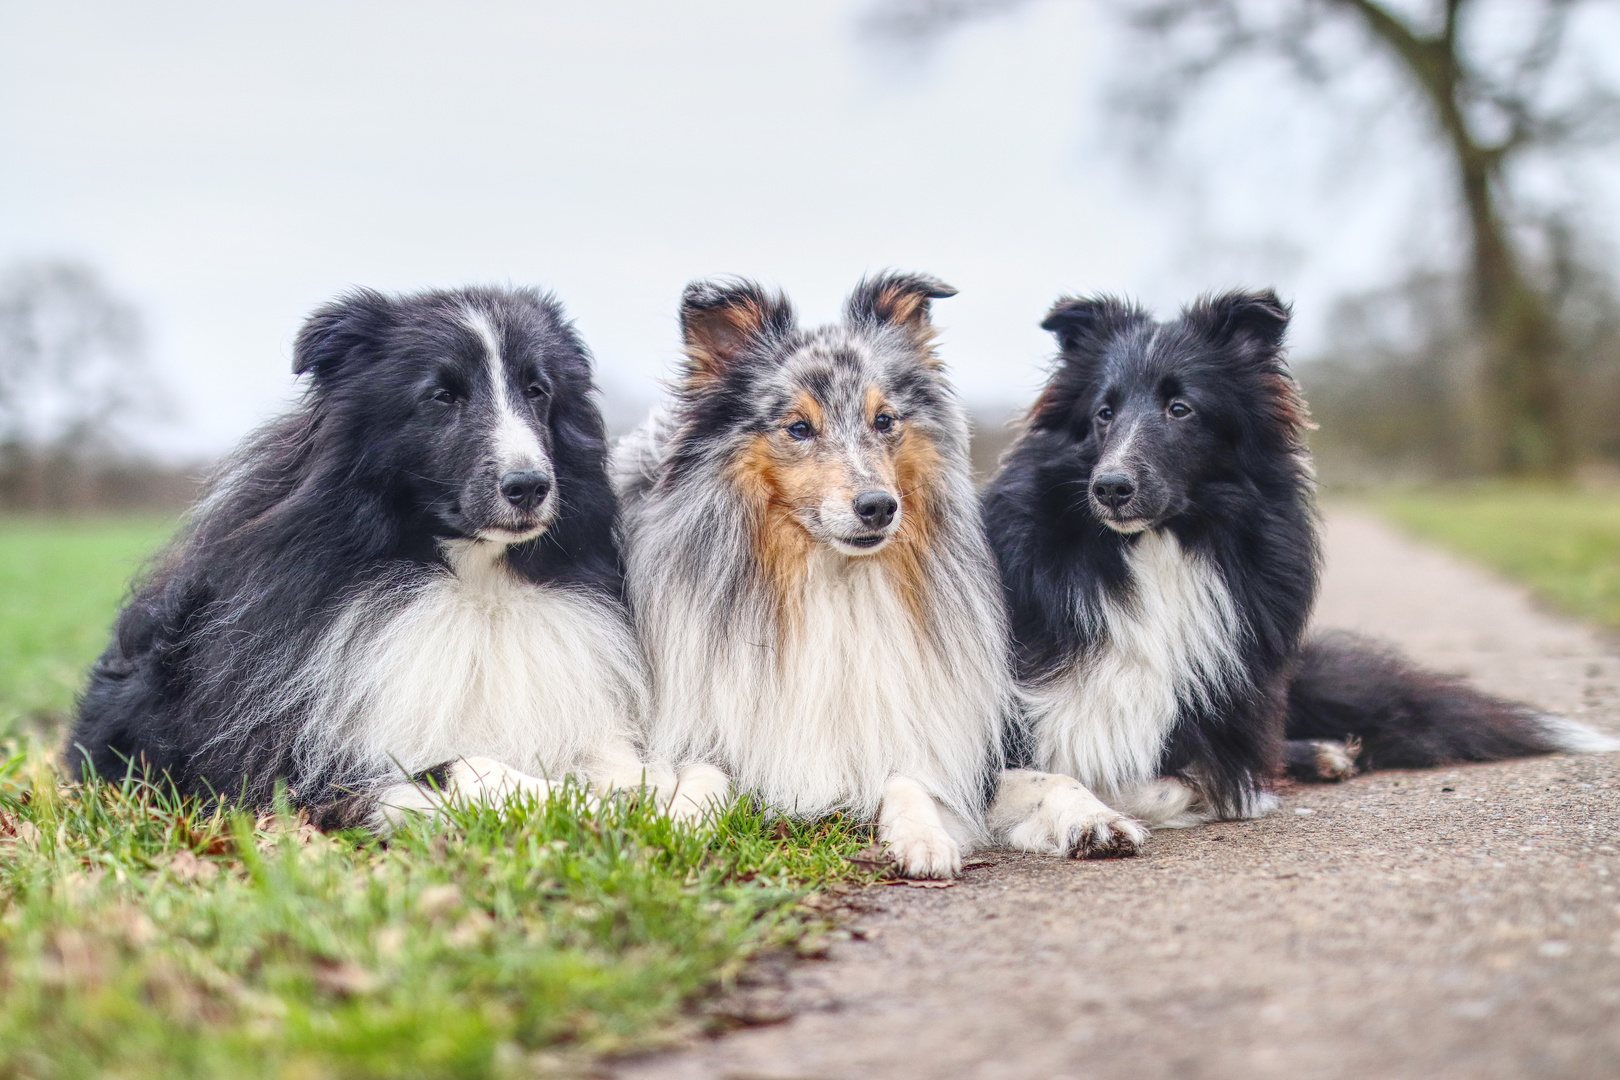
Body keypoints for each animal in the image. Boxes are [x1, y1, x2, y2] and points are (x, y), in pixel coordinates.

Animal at [69, 286, 651, 829]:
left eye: (537, 391)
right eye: (442, 396)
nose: (529, 486)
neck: (474, 579)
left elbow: (624, 759)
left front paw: (658, 795)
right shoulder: (295, 760)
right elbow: (466, 767)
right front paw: (596, 807)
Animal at [612, 276, 1146, 880]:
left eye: (884, 420)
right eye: (799, 427)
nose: (878, 507)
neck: (832, 579)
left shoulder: (924, 736)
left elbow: (925, 781)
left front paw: (927, 839)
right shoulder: (711, 723)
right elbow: (701, 774)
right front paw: (677, 825)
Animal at [984, 286, 1620, 829]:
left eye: (1181, 408)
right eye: (1103, 413)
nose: (1109, 488)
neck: (1157, 550)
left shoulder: (1223, 715)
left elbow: (1196, 776)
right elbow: (1065, 772)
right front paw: (1089, 817)